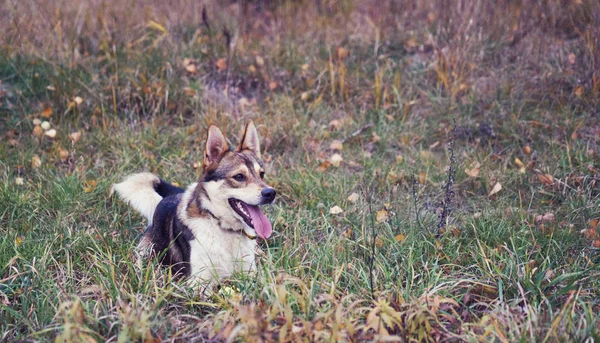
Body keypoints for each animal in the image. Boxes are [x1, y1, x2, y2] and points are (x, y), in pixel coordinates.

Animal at [112, 121, 276, 288]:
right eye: (239, 177)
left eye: (262, 174)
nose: (271, 193)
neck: (224, 229)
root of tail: (169, 196)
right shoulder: (198, 283)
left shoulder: (251, 275)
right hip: (144, 254)